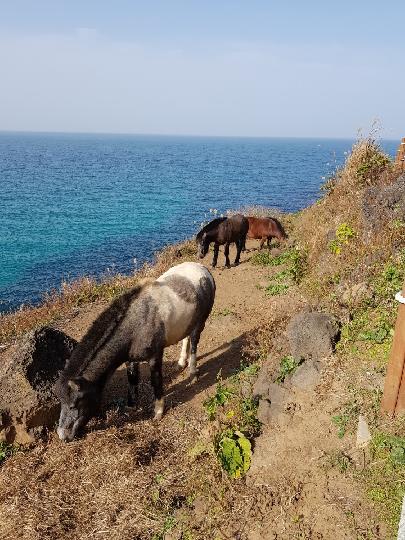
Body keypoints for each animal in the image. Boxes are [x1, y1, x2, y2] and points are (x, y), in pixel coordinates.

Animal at [56, 262, 218, 442]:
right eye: (61, 402)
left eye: (74, 404)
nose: (62, 435)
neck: (135, 325)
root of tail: (203, 269)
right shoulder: (130, 359)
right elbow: (132, 379)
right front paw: (131, 406)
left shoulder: (155, 357)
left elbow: (156, 381)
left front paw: (158, 411)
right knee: (186, 338)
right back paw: (181, 362)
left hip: (200, 322)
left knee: (194, 342)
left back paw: (192, 371)